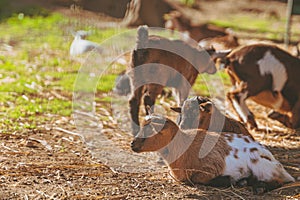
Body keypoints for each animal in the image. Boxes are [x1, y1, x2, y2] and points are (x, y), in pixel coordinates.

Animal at [132, 115, 296, 192]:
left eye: (151, 131)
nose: (132, 144)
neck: (182, 146)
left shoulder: (210, 168)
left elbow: (197, 179)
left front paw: (229, 180)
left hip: (261, 166)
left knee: (278, 181)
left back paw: (258, 187)